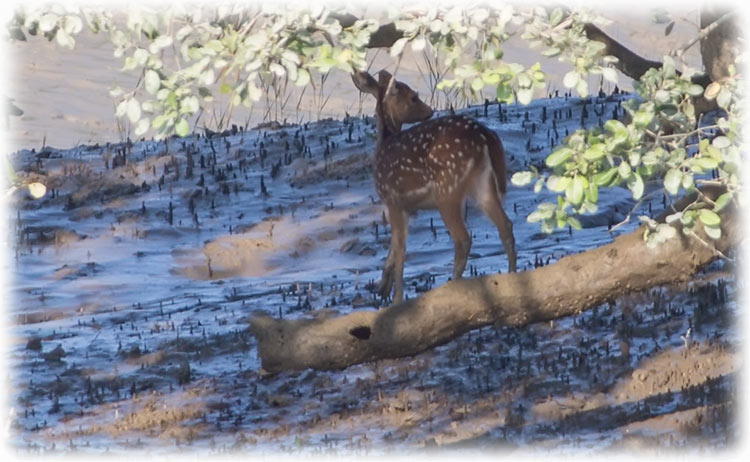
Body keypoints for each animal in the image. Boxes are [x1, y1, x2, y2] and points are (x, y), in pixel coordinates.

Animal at [352, 70, 516, 304]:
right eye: (413, 97)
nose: (429, 111)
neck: (384, 144)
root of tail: (486, 134)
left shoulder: (393, 198)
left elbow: (400, 248)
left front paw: (396, 298)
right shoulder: (406, 207)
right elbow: (394, 247)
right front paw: (382, 286)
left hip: (447, 187)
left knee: (463, 238)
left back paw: (453, 283)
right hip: (482, 182)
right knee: (505, 225)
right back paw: (512, 275)